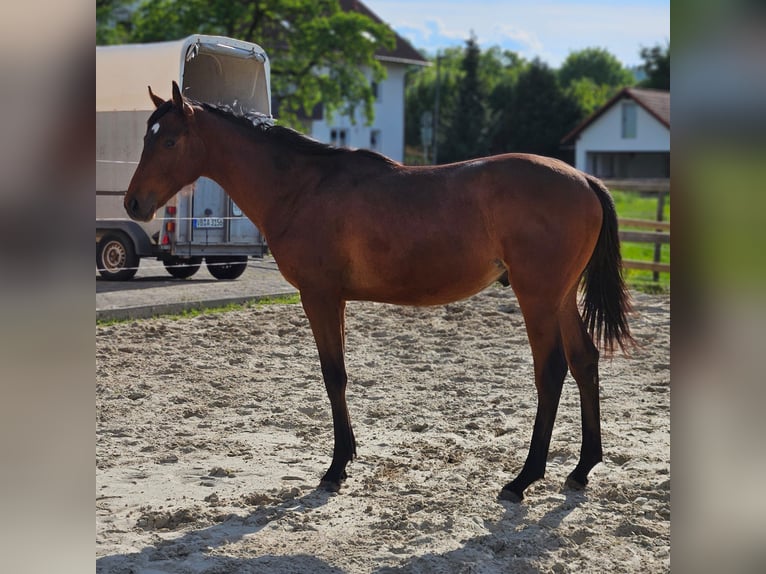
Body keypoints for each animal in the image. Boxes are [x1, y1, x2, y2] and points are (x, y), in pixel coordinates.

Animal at [126, 82, 632, 504]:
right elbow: (339, 376)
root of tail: (584, 180)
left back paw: (523, 479)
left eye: (169, 141)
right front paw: (346, 457)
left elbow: (333, 376)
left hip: (538, 298)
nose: (133, 203)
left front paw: (335, 468)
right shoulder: (336, 300)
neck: (302, 187)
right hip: (561, 298)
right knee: (584, 360)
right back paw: (582, 468)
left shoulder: (319, 297)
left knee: (551, 371)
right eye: (146, 137)